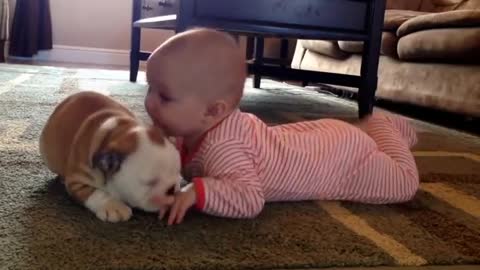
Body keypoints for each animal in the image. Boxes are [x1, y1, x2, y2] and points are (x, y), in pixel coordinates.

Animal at [39, 90, 182, 221]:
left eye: (177, 172)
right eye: (150, 182)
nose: (172, 189)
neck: (116, 134)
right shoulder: (77, 180)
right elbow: (95, 193)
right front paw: (112, 206)